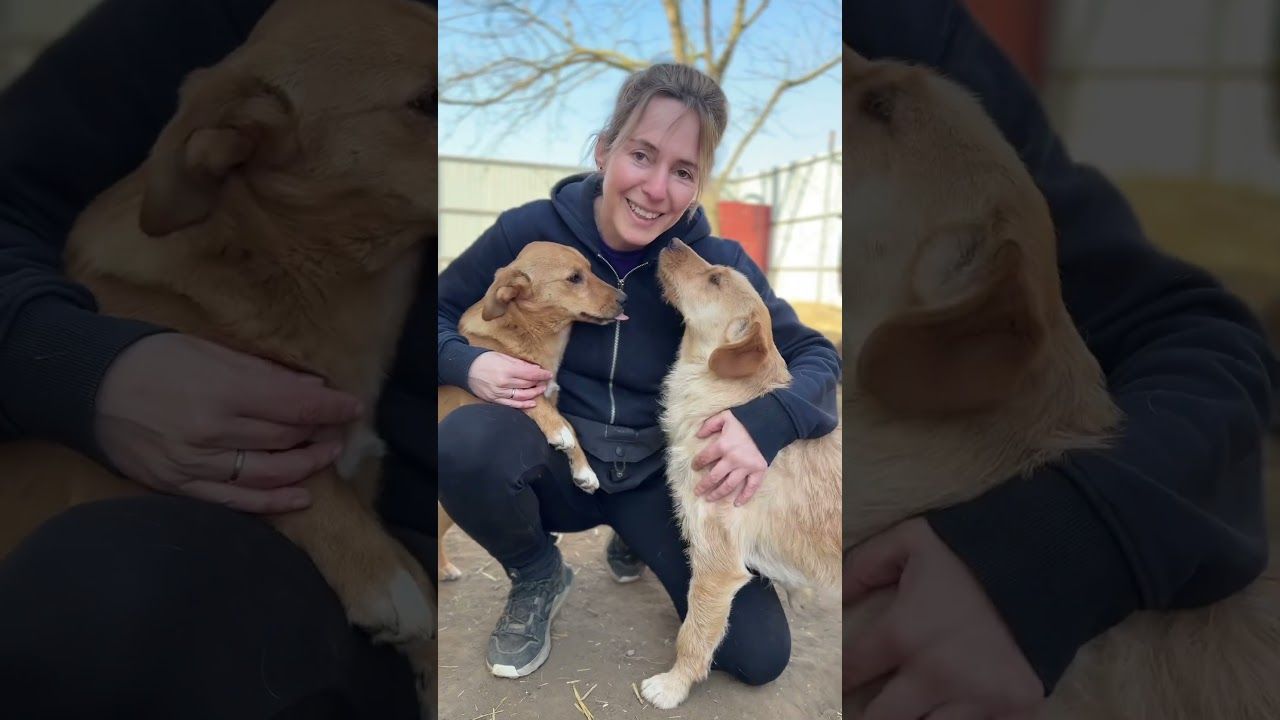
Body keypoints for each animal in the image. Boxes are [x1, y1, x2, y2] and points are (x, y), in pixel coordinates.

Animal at [436, 241, 627, 580]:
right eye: (574, 278)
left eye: (590, 270)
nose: (624, 299)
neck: (525, 332)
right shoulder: (494, 385)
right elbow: (549, 413)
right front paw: (561, 435)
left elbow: (569, 424)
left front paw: (584, 472)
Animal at [638, 238, 843, 709]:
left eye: (715, 278)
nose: (672, 240)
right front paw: (798, 591)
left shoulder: (716, 562)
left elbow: (694, 632)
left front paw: (673, 686)